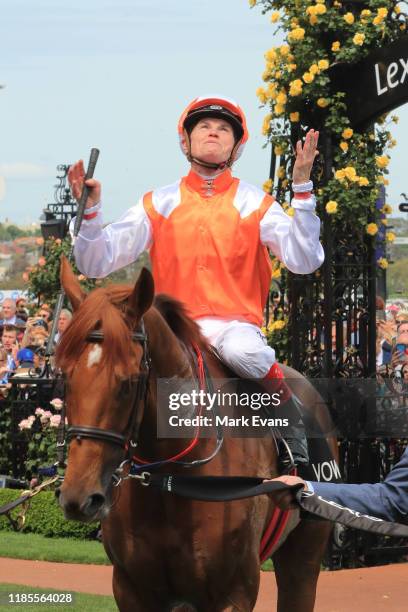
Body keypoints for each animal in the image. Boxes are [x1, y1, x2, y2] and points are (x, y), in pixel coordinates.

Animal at [56, 260, 334, 612]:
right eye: (65, 376)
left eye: (128, 382)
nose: (79, 497)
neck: (170, 478)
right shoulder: (131, 588)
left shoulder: (234, 591)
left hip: (304, 556)